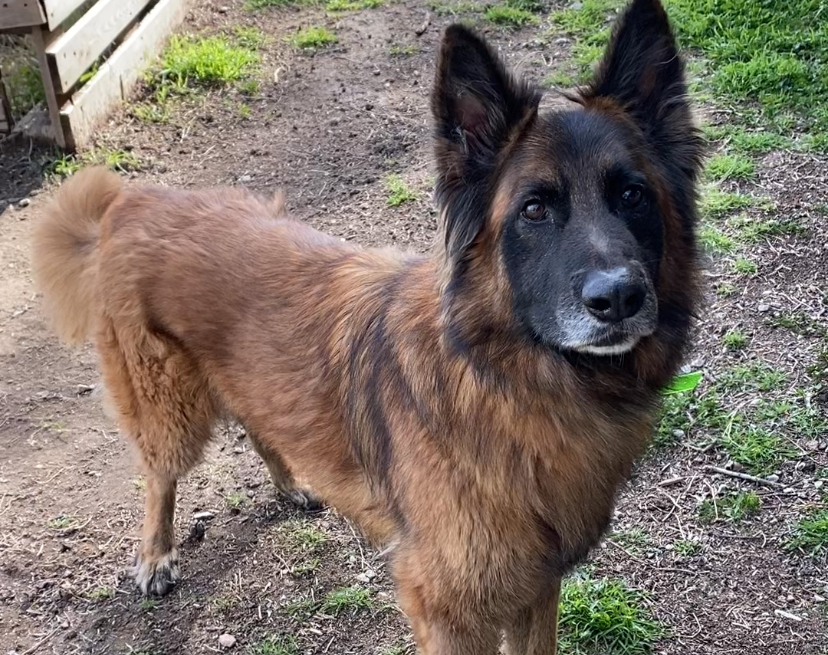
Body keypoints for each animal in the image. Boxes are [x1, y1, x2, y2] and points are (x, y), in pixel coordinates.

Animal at [31, 0, 702, 651]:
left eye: (633, 195)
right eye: (534, 209)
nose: (618, 296)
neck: (502, 377)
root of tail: (132, 200)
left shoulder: (536, 585)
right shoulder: (452, 610)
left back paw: (289, 484)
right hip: (169, 410)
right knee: (158, 476)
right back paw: (155, 556)